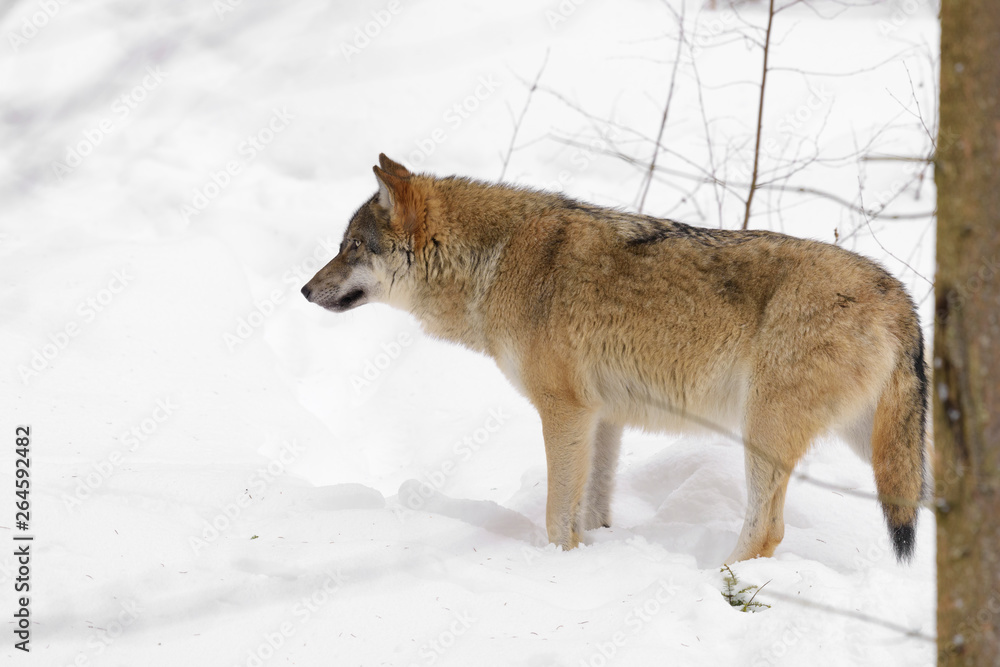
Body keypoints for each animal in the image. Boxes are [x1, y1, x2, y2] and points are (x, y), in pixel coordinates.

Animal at [301, 154, 928, 563]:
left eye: (352, 247)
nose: (305, 291)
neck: (495, 262)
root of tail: (900, 296)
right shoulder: (602, 418)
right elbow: (591, 508)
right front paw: (593, 556)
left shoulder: (565, 411)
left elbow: (557, 514)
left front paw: (558, 566)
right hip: (875, 446)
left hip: (764, 433)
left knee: (767, 531)